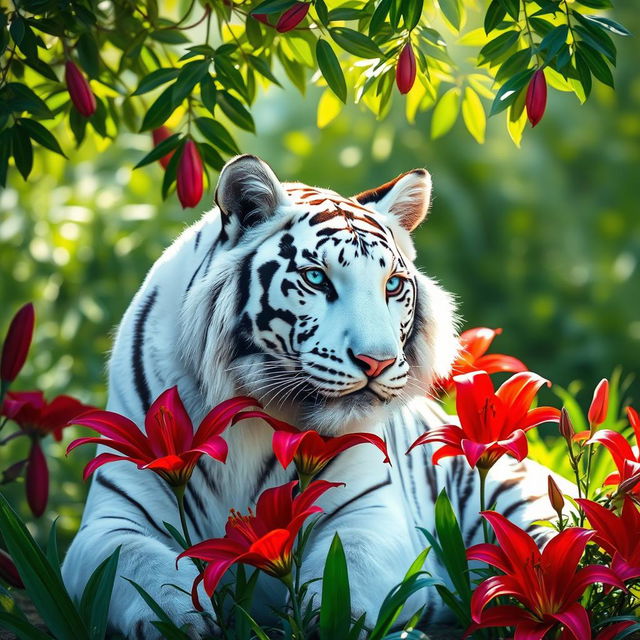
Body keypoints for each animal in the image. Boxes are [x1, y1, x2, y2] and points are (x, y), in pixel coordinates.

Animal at [61, 156, 568, 640]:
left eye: (392, 285)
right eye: (316, 278)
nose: (377, 362)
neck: (249, 408)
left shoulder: (367, 510)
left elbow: (349, 569)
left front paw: (329, 616)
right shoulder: (111, 518)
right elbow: (138, 566)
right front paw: (182, 617)